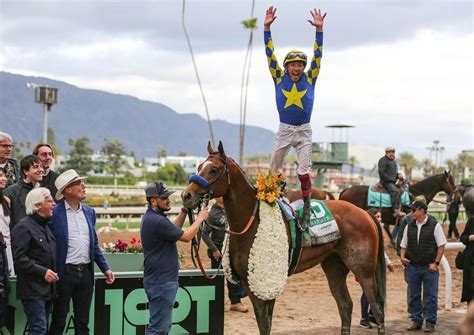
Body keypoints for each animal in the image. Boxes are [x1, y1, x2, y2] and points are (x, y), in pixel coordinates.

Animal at [183, 142, 386, 335]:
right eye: (199, 166)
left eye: (214, 169)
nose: (186, 195)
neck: (250, 222)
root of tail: (365, 214)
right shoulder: (250, 283)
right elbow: (263, 323)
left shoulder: (268, 282)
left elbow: (266, 324)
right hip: (334, 266)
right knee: (345, 306)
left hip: (364, 270)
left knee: (377, 309)